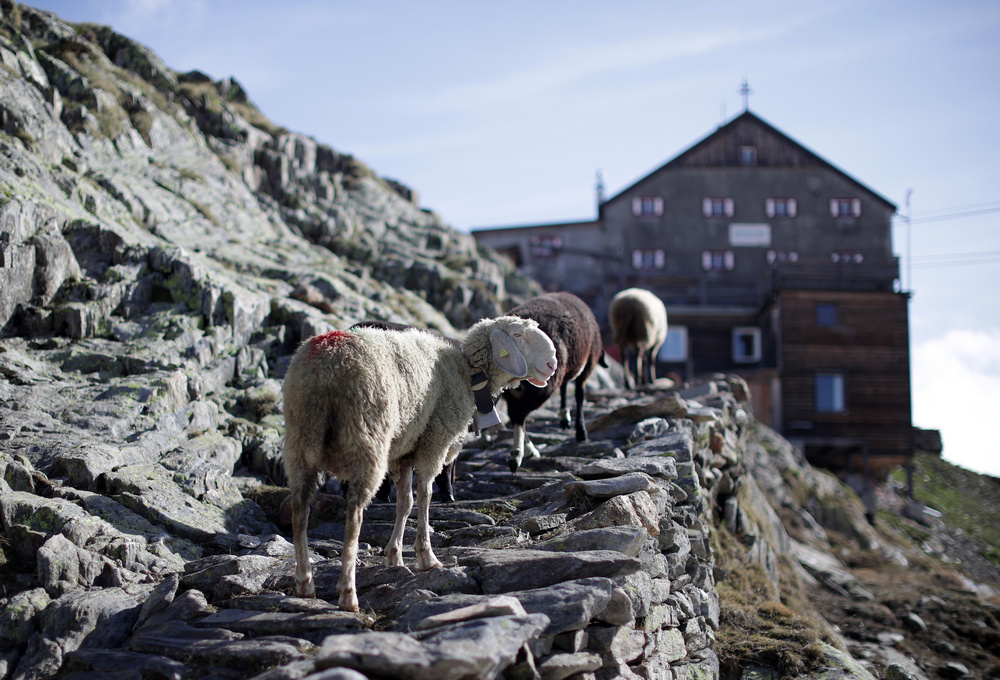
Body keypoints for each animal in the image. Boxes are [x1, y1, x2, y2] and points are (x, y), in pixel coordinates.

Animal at [282, 318, 560, 612]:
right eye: (518, 334)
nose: (552, 363)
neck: (466, 371)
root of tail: (327, 364)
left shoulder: (402, 452)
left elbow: (405, 502)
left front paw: (394, 555)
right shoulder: (434, 441)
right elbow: (425, 496)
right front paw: (426, 556)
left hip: (300, 441)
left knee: (300, 510)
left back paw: (305, 582)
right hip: (366, 437)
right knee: (354, 515)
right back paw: (348, 592)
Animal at [504, 292, 604, 472]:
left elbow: (565, 389)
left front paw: (565, 417)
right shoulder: (587, 365)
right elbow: (579, 395)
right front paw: (581, 432)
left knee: (515, 416)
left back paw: (526, 450)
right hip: (540, 386)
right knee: (519, 416)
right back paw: (518, 455)